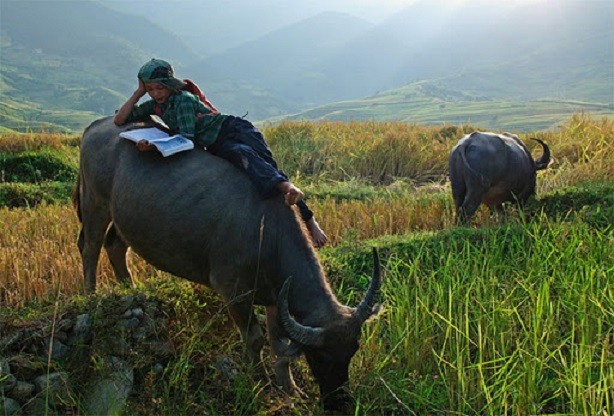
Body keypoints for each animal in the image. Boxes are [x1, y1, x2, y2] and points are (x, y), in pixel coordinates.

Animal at [74, 115, 382, 412]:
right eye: (318, 356)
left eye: (352, 351)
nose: (339, 403)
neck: (266, 231)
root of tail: (98, 126)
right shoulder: (233, 292)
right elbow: (255, 339)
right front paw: (261, 382)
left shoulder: (275, 297)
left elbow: (278, 343)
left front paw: (290, 388)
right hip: (94, 203)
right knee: (90, 246)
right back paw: (90, 294)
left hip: (125, 216)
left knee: (116, 245)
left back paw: (130, 289)